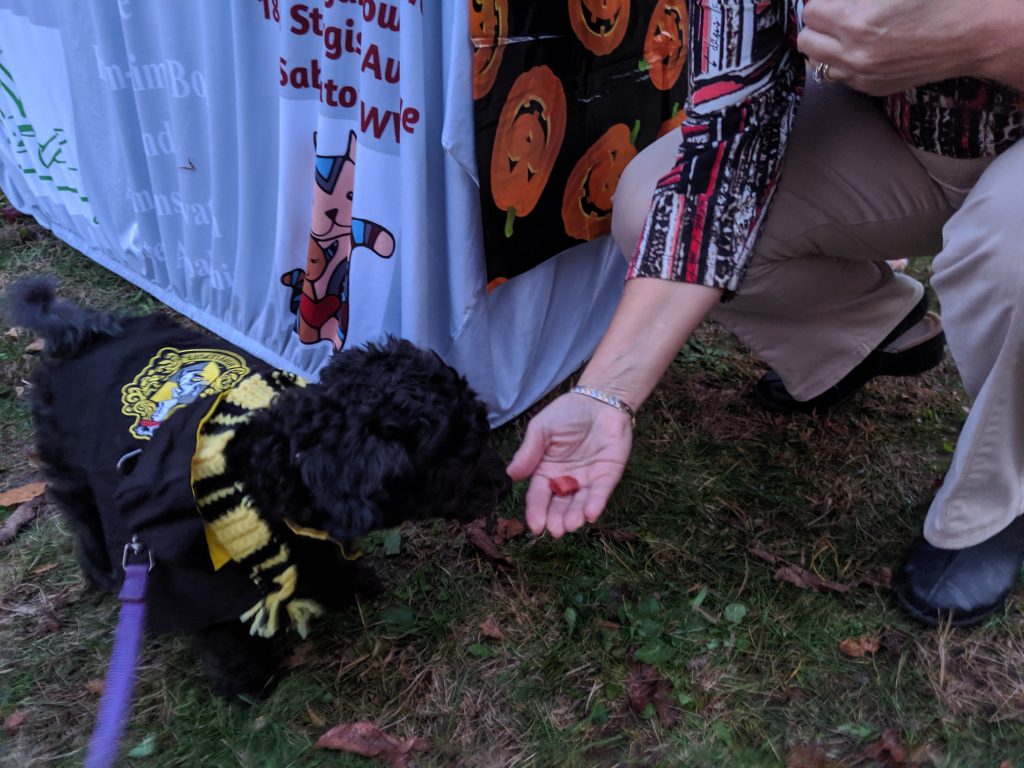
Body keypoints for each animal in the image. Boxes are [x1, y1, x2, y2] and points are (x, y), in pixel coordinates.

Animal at [4, 280, 507, 700]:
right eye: (458, 455)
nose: (504, 482)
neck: (266, 461)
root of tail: (75, 333)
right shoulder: (191, 580)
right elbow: (221, 634)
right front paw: (248, 683)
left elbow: (325, 560)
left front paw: (351, 586)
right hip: (70, 468)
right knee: (82, 517)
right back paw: (101, 574)